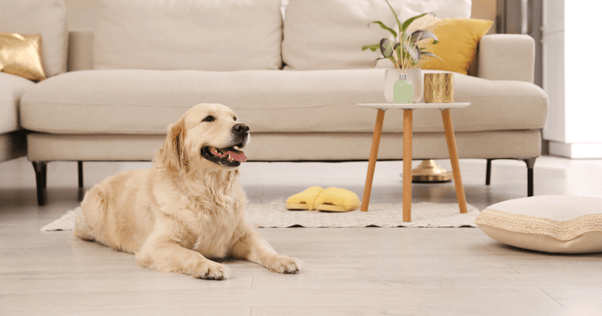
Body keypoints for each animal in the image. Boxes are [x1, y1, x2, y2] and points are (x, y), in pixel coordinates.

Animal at [74, 103, 298, 278]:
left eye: (234, 117)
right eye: (209, 118)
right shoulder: (156, 246)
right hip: (93, 212)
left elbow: (264, 249)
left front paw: (282, 259)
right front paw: (209, 266)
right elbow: (191, 253)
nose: (243, 127)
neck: (210, 192)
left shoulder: (244, 236)